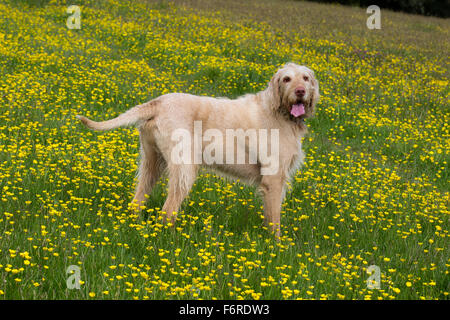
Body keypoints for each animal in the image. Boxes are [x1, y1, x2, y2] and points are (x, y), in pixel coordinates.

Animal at [75, 63, 318, 238]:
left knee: (138, 200)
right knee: (167, 211)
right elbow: (274, 220)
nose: (300, 91)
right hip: (185, 168)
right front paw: (275, 248)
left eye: (305, 78)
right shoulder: (273, 180)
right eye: (286, 79)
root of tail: (158, 102)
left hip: (152, 163)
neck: (280, 111)